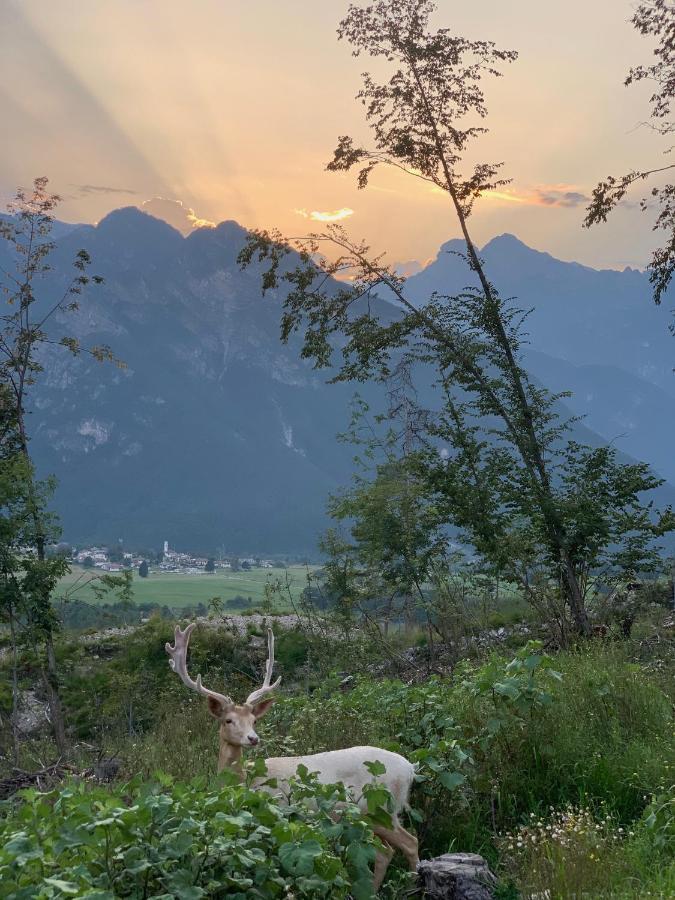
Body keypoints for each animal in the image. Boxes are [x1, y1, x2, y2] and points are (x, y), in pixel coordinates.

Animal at [166, 624, 420, 888]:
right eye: (228, 720)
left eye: (254, 720)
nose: (253, 738)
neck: (244, 780)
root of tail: (410, 768)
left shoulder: (276, 813)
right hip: (368, 816)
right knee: (386, 851)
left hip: (382, 807)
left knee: (410, 843)